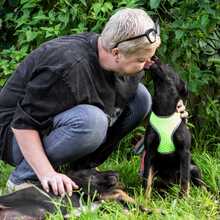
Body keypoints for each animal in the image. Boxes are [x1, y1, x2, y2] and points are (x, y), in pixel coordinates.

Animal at [142, 57, 204, 197]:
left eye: (168, 65)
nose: (155, 57)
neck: (164, 112)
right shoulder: (149, 152)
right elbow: (147, 178)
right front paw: (144, 198)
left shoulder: (184, 152)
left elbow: (185, 179)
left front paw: (184, 198)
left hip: (194, 168)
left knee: (200, 184)